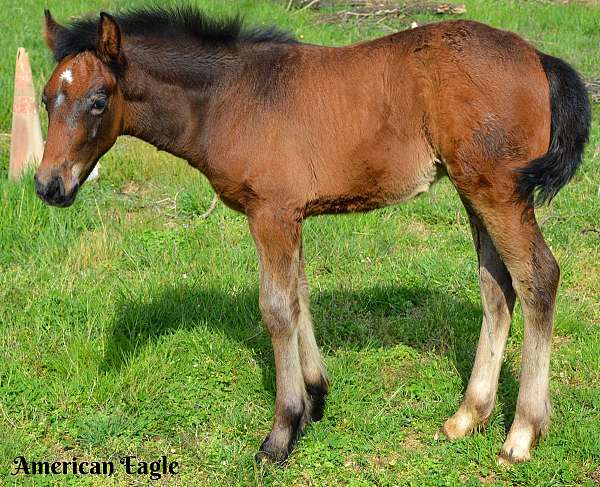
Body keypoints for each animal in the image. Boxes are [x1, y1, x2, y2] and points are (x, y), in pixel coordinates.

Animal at [36, 6, 592, 466]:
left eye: (99, 100)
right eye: (45, 99)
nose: (49, 185)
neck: (232, 97)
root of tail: (537, 56)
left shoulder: (272, 213)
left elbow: (277, 308)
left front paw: (282, 431)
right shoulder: (292, 215)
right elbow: (300, 295)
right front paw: (315, 398)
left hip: (499, 191)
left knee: (538, 278)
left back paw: (521, 433)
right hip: (473, 190)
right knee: (496, 287)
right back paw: (468, 415)